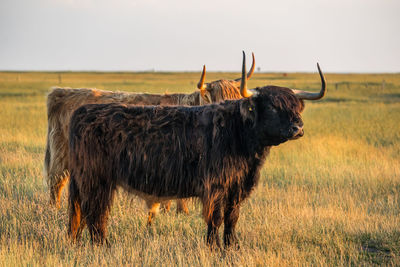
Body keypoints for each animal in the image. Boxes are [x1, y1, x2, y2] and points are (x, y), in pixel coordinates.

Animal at [67, 52, 326, 249]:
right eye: (272, 106)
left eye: (296, 106)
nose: (298, 128)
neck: (239, 135)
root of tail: (82, 112)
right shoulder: (215, 187)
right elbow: (216, 218)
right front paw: (213, 248)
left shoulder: (237, 188)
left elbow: (232, 218)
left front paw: (231, 247)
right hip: (96, 180)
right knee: (95, 213)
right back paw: (103, 246)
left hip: (85, 181)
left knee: (80, 213)